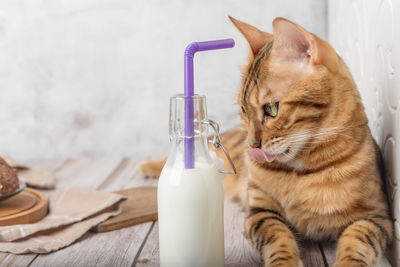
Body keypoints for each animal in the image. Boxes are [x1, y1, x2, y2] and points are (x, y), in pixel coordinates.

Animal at [139, 17, 392, 267]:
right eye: (243, 109)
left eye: (271, 109)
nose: (251, 145)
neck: (301, 171)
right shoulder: (261, 211)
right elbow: (278, 239)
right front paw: (285, 263)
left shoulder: (377, 217)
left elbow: (356, 242)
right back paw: (147, 166)